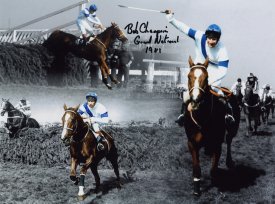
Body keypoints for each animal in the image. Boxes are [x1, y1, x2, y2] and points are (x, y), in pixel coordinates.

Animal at [184, 56, 240, 196]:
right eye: (189, 76)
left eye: (206, 77)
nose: (195, 100)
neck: (201, 117)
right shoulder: (192, 142)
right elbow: (196, 167)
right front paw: (196, 188)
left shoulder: (217, 143)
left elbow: (213, 168)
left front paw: (215, 183)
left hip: (233, 130)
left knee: (229, 141)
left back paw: (229, 161)